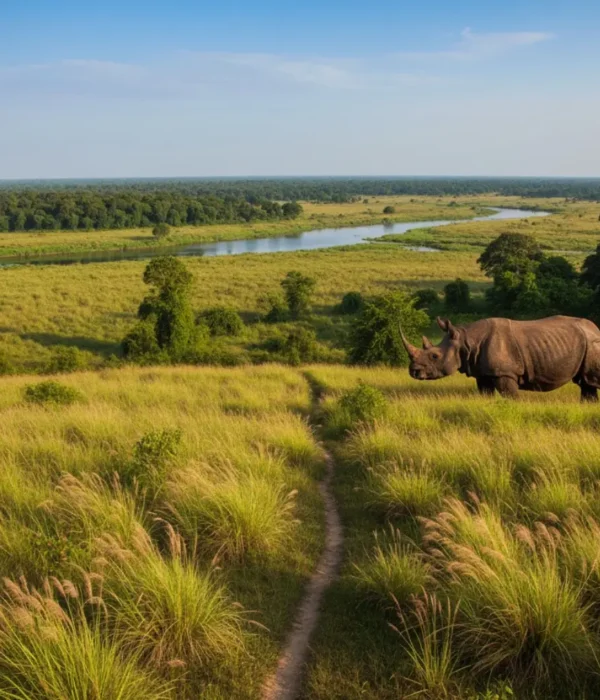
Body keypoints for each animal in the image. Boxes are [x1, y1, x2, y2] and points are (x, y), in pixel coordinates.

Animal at [400, 315, 600, 401]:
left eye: (434, 356)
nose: (413, 371)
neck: (466, 340)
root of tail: (596, 328)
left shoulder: (505, 373)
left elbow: (510, 397)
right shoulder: (483, 373)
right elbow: (485, 394)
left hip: (593, 344)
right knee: (586, 383)